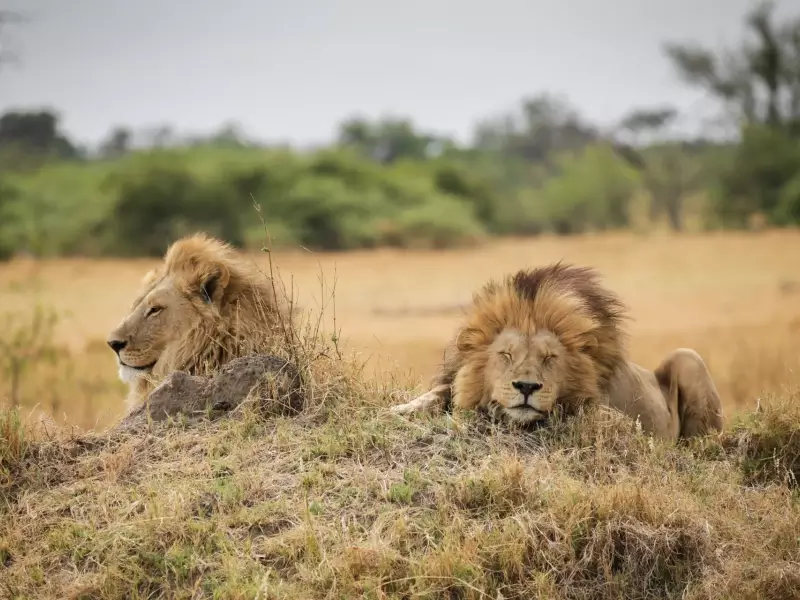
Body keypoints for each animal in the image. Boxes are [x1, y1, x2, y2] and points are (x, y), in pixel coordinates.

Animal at [390, 262, 728, 440]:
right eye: (506, 355)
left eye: (550, 358)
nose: (526, 387)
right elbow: (440, 392)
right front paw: (403, 409)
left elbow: (577, 410)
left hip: (688, 358)